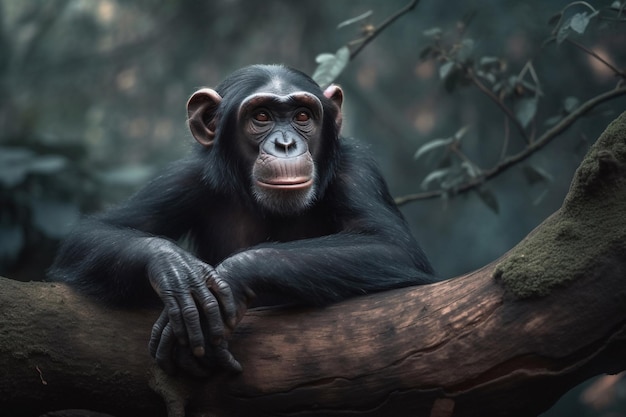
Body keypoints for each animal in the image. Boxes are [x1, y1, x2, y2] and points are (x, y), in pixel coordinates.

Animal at [47, 64, 434, 374]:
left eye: (302, 117)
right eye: (261, 116)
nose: (285, 144)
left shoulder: (357, 170)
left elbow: (391, 245)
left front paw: (233, 275)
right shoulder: (187, 176)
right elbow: (97, 231)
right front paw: (175, 271)